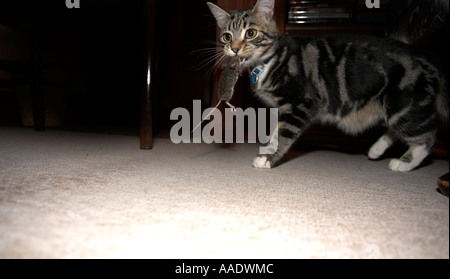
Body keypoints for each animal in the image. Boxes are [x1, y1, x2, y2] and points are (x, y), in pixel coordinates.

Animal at [207, 0, 446, 172]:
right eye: (226, 36)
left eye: (251, 33)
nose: (234, 48)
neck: (270, 60)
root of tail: (428, 58)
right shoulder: (283, 106)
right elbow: (276, 131)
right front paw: (267, 150)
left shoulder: (300, 103)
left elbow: (285, 133)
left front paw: (269, 158)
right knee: (397, 130)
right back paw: (376, 150)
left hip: (404, 105)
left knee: (427, 137)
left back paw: (404, 163)